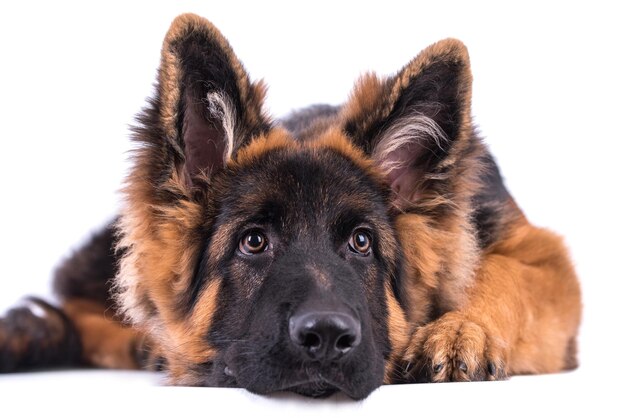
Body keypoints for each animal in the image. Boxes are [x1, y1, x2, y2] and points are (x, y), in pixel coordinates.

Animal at [2, 13, 584, 398]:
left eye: (362, 242)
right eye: (254, 241)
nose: (325, 337)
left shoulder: (545, 260)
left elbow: (508, 274)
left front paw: (462, 329)